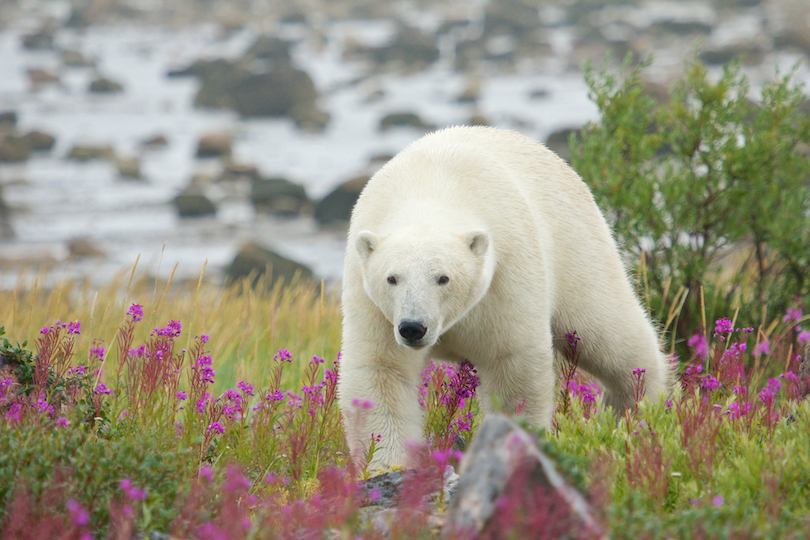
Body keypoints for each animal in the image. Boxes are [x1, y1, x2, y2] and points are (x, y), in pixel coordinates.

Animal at [334, 123, 668, 468]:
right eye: (392, 278)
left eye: (443, 278)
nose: (413, 327)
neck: (430, 189)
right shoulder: (372, 303)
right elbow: (380, 370)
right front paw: (389, 465)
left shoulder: (505, 278)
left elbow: (512, 367)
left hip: (577, 245)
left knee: (608, 330)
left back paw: (637, 405)